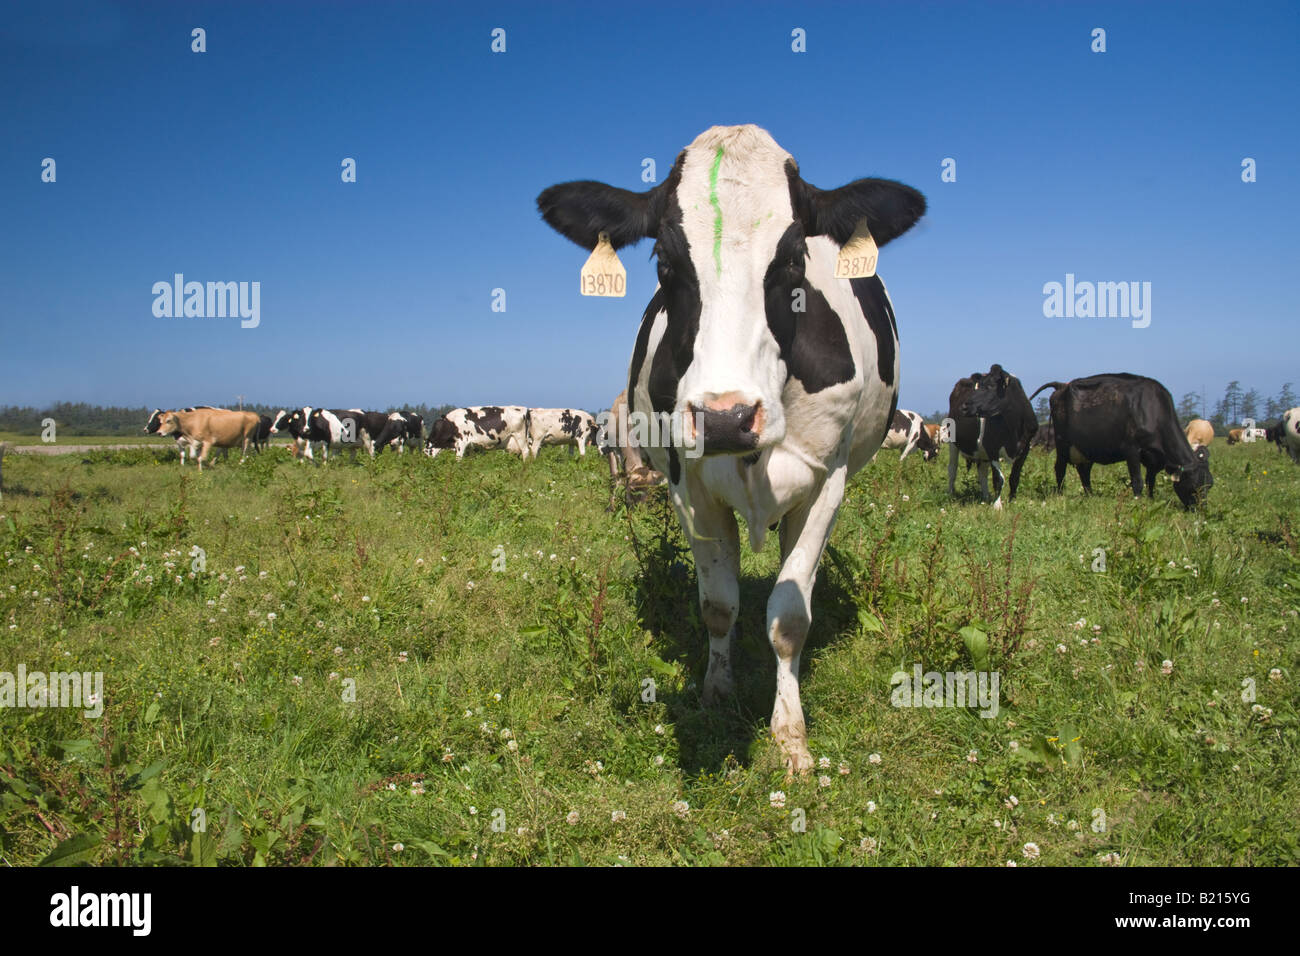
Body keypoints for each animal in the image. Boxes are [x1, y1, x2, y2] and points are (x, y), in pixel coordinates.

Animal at [537, 124, 925, 772]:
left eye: (794, 259)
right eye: (665, 261)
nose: (727, 418)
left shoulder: (828, 482)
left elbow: (789, 617)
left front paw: (790, 735)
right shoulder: (686, 485)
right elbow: (718, 603)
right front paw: (717, 693)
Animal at [945, 365, 1038, 507]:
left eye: (990, 386)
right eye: (979, 385)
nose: (964, 406)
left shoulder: (1025, 448)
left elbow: (1014, 477)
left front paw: (1012, 501)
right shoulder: (992, 448)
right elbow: (998, 479)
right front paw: (997, 506)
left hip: (981, 453)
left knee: (982, 473)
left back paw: (986, 497)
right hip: (953, 442)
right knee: (952, 469)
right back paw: (951, 494)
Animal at [1030, 374, 1213, 508]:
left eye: (1209, 485)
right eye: (1194, 485)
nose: (1200, 510)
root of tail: (1062, 385)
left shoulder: (1154, 460)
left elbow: (1150, 481)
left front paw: (1150, 500)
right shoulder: (1131, 449)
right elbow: (1138, 481)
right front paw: (1138, 502)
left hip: (1087, 447)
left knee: (1084, 471)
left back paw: (1090, 495)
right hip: (1062, 444)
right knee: (1060, 469)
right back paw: (1061, 494)